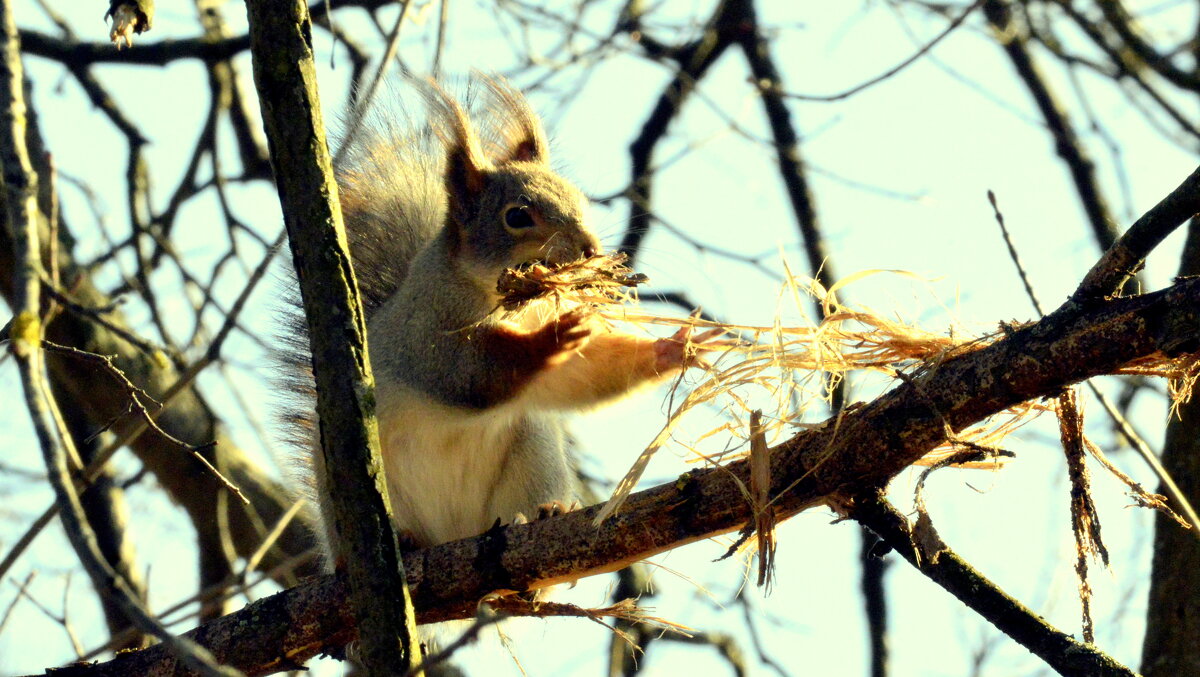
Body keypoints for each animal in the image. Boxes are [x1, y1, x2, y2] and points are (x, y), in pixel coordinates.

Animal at [278, 76, 710, 556]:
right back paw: (406, 540)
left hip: (532, 453)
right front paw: (553, 339)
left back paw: (548, 514)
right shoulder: (424, 331)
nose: (591, 249)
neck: (510, 304)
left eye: (579, 199)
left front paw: (674, 348)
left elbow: (581, 375)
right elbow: (469, 371)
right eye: (517, 216)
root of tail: (454, 531)